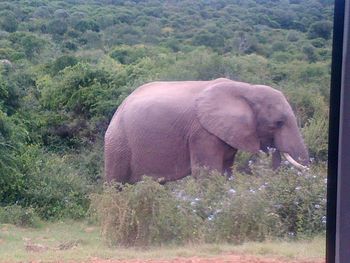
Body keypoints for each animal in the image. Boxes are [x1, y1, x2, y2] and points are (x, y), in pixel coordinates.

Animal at [104, 78, 308, 184]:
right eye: (278, 123)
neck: (247, 89)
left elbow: (226, 171)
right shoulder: (202, 133)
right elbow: (206, 173)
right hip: (118, 141)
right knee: (116, 184)